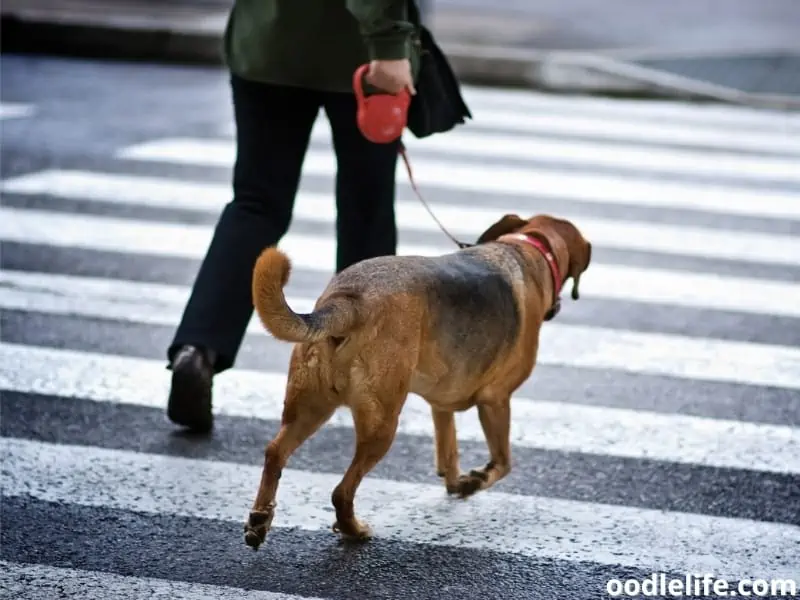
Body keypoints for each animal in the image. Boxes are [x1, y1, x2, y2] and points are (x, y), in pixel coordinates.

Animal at [241, 213, 592, 552]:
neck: (527, 248)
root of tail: (348, 301)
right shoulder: (496, 401)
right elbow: (504, 462)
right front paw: (476, 480)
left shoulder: (443, 402)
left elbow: (449, 448)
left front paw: (456, 482)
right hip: (381, 425)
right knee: (342, 491)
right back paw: (353, 530)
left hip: (309, 407)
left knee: (275, 453)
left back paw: (260, 519)